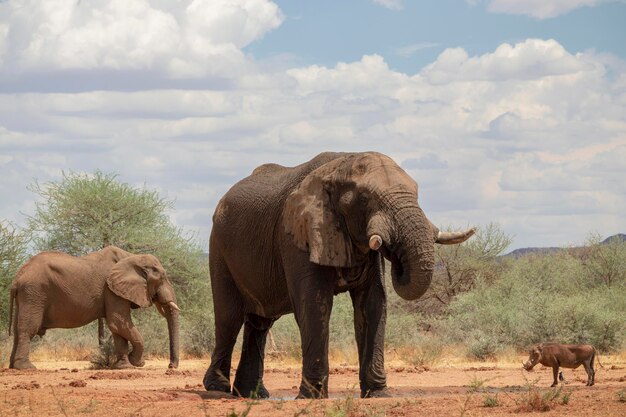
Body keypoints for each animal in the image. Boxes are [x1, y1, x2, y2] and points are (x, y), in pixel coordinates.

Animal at [8, 245, 179, 368]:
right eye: (161, 278)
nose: (171, 366)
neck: (132, 257)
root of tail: (17, 278)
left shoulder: (114, 290)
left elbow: (117, 328)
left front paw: (123, 367)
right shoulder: (111, 290)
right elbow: (118, 322)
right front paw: (136, 362)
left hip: (26, 296)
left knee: (17, 330)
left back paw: (12, 367)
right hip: (34, 293)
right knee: (28, 329)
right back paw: (27, 368)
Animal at [202, 151, 470, 398]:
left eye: (416, 193)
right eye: (365, 198)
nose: (394, 251)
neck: (341, 165)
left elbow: (373, 304)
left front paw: (378, 394)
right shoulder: (300, 235)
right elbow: (315, 306)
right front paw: (312, 397)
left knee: (260, 323)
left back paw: (253, 395)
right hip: (219, 248)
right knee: (229, 318)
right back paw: (218, 389)